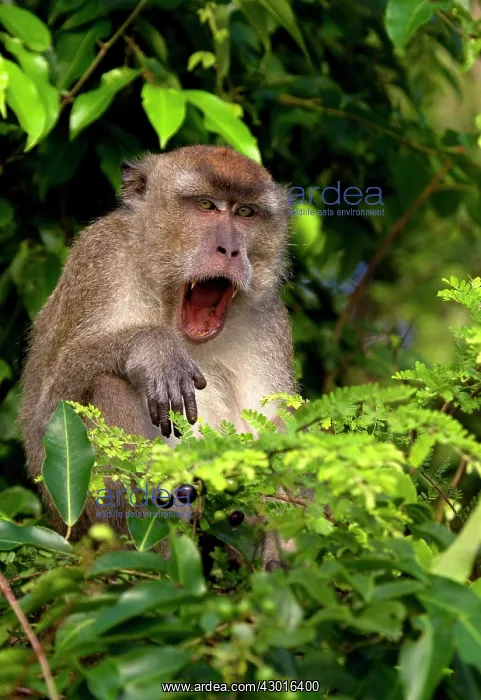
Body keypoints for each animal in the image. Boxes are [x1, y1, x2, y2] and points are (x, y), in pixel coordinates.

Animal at [20, 145, 296, 569]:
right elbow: (45, 413)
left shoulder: (269, 321)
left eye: (245, 213)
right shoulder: (98, 262)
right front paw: (154, 349)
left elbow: (280, 432)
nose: (231, 249)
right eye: (206, 205)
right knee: (106, 387)